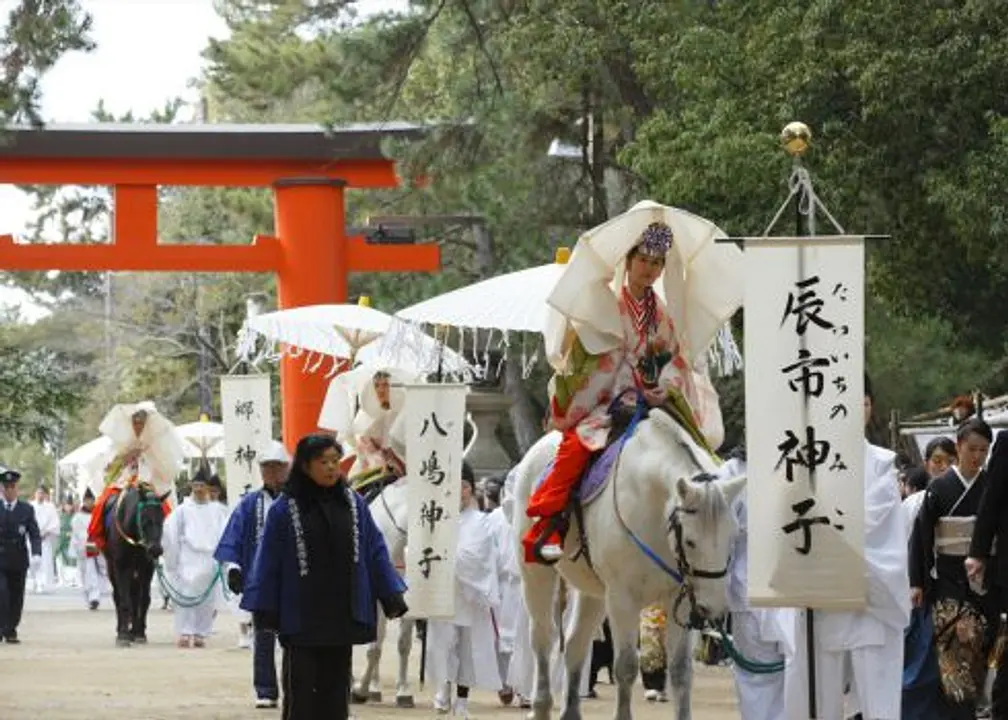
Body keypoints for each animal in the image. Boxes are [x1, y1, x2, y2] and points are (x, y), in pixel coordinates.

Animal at [516, 409, 745, 717]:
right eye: (690, 542)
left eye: (733, 537)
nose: (713, 609)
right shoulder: (622, 596)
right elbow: (625, 667)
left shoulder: (683, 599)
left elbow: (681, 672)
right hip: (535, 571)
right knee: (543, 637)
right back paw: (540, 705)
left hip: (594, 590)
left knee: (576, 643)